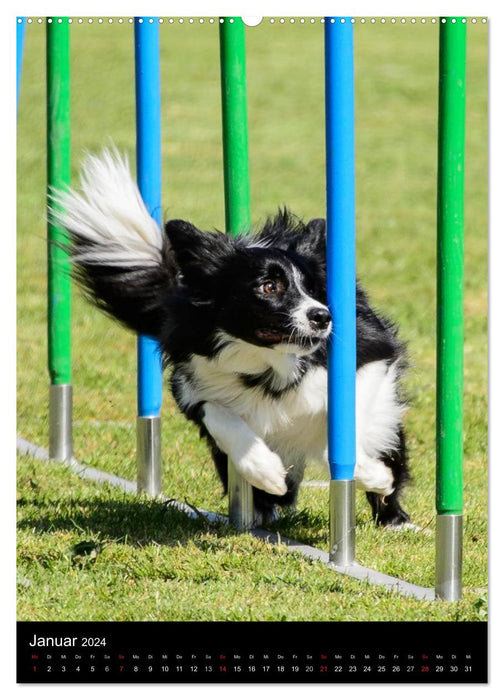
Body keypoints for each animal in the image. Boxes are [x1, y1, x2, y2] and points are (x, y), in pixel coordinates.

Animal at [53, 150, 412, 528]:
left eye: (312, 289)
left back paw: (393, 515)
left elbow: (341, 437)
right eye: (268, 286)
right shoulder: (193, 380)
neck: (266, 361)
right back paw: (265, 504)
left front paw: (377, 476)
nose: (322, 317)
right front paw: (265, 470)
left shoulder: (372, 355)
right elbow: (218, 416)